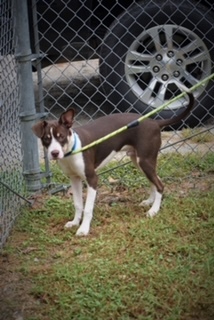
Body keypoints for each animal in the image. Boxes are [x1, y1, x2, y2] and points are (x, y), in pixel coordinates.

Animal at [32, 92, 194, 235]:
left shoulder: (92, 179)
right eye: (46, 139)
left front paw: (84, 229)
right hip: (139, 161)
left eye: (61, 137)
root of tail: (154, 121)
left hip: (145, 160)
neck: (72, 151)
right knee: (155, 181)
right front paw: (74, 222)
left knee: (160, 184)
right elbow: (78, 204)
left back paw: (153, 210)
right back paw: (150, 202)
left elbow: (88, 208)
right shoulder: (74, 179)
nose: (54, 153)